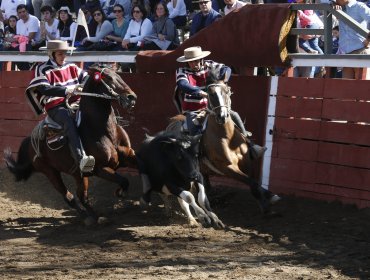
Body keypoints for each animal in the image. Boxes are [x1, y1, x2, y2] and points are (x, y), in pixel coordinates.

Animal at [4, 64, 137, 224]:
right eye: (108, 78)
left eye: (119, 75)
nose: (131, 97)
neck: (104, 131)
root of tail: (30, 140)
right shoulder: (101, 169)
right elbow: (123, 180)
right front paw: (120, 193)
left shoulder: (130, 157)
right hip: (50, 172)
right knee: (70, 197)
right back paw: (88, 217)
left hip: (78, 174)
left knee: (82, 196)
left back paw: (94, 216)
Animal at [168, 72, 280, 214]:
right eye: (210, 94)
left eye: (227, 91)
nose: (222, 116)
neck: (227, 137)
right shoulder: (227, 167)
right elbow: (251, 182)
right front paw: (266, 204)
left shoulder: (247, 162)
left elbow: (254, 181)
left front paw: (268, 198)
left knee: (205, 182)